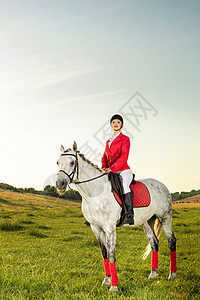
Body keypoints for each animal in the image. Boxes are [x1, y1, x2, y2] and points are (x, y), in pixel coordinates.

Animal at [55, 142, 176, 292]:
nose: (60, 184)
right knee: (154, 242)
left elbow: (112, 255)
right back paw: (153, 274)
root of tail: (162, 184)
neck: (95, 194)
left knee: (171, 241)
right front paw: (106, 280)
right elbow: (104, 253)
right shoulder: (96, 228)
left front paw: (114, 287)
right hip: (147, 221)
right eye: (58, 162)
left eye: (72, 162)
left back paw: (172, 275)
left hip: (165, 218)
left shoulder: (110, 228)